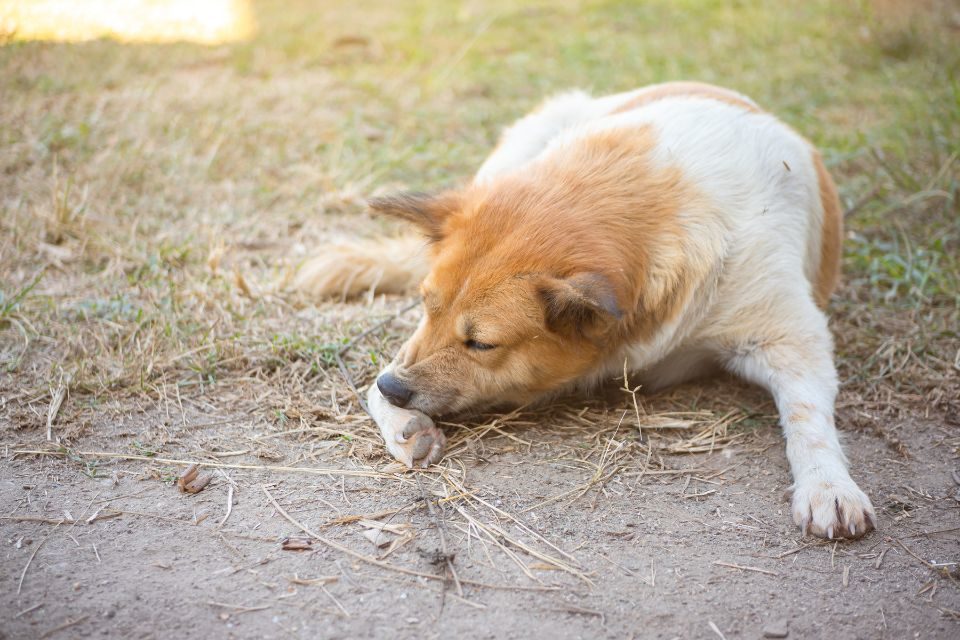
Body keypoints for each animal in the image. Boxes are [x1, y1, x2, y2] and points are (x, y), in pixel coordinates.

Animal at [300, 81, 876, 540]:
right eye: (425, 306)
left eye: (481, 343)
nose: (395, 391)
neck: (662, 204)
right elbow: (374, 379)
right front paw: (400, 421)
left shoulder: (791, 336)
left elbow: (808, 417)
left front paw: (828, 484)